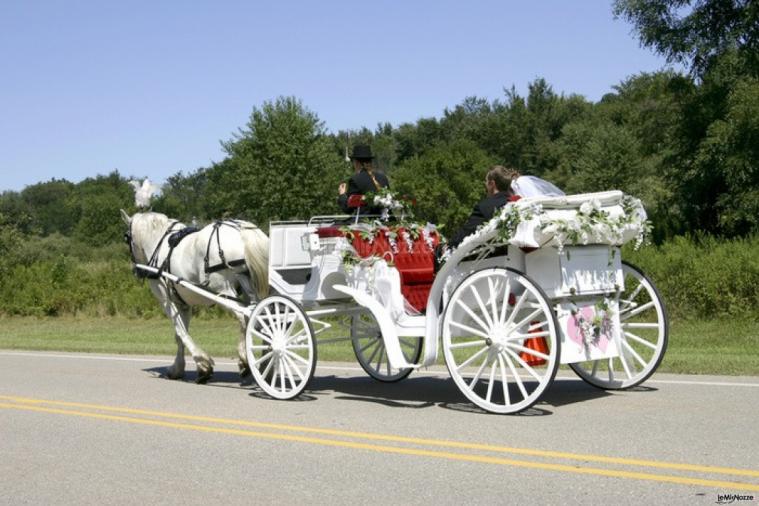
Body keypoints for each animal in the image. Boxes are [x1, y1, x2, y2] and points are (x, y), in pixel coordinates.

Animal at [121, 211, 270, 384]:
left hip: (224, 289)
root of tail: (241, 229)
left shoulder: (166, 301)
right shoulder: (184, 304)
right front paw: (178, 368)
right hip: (248, 287)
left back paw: (245, 360)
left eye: (126, 237)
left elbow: (180, 332)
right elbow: (180, 336)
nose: (136, 270)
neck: (159, 244)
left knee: (244, 316)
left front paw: (202, 365)